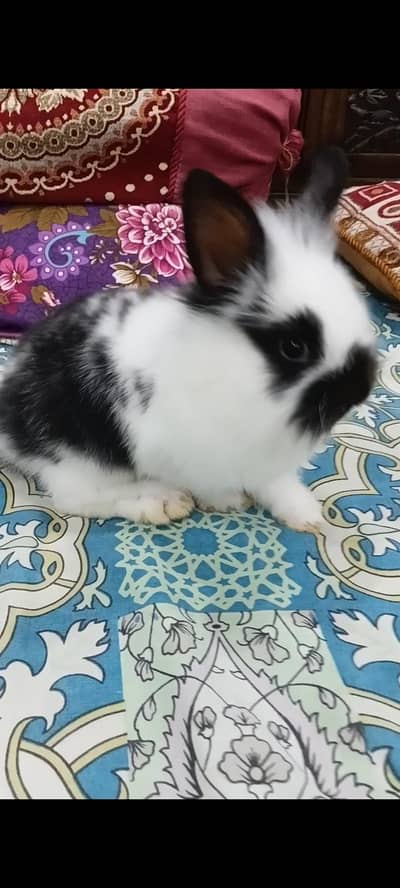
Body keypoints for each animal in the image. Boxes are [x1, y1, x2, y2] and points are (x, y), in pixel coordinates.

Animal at [0, 146, 376, 531]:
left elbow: (276, 483)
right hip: (76, 452)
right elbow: (212, 485)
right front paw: (228, 502)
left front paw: (307, 516)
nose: (358, 392)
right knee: (77, 498)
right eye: (293, 347)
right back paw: (161, 501)